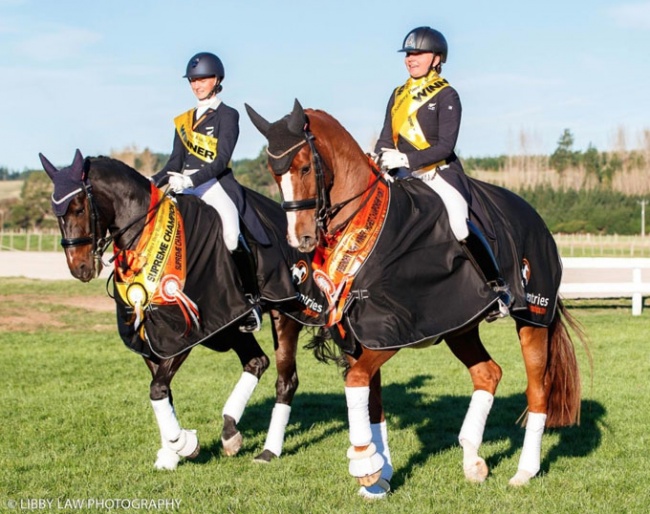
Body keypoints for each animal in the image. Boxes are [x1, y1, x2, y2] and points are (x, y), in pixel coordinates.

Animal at [38, 147, 324, 468]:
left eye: (78, 208)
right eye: (56, 213)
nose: (80, 268)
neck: (148, 237)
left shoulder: (184, 332)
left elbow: (157, 389)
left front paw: (183, 444)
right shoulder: (152, 339)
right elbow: (164, 391)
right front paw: (171, 451)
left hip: (283, 315)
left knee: (286, 381)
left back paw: (268, 451)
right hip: (230, 323)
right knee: (256, 361)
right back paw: (230, 432)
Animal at [244, 100, 588, 496]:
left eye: (303, 167)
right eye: (274, 173)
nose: (299, 239)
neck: (369, 224)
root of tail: (533, 214)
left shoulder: (392, 331)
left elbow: (355, 382)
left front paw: (364, 466)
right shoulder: (362, 337)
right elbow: (371, 402)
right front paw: (379, 477)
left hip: (532, 318)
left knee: (538, 392)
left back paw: (524, 471)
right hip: (460, 325)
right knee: (488, 374)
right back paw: (472, 461)